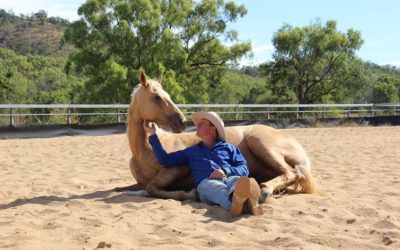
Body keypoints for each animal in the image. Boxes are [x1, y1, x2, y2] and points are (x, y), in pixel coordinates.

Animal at [115, 71, 316, 203]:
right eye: (156, 97)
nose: (182, 121)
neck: (145, 150)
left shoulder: (177, 168)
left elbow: (151, 189)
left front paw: (189, 194)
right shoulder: (139, 182)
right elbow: (125, 188)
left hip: (260, 144)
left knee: (291, 173)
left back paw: (264, 190)